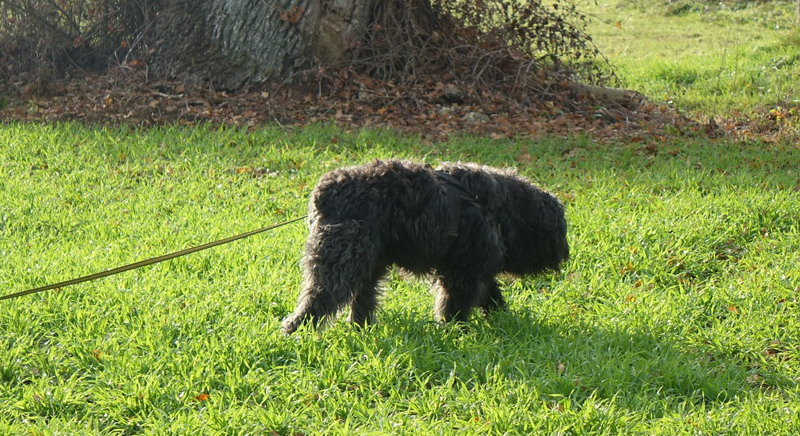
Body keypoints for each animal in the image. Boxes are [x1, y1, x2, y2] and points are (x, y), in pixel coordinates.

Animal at [281, 160, 569, 334]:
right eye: (560, 232)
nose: (565, 255)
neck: (500, 208)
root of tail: (325, 191)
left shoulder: (476, 268)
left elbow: (491, 295)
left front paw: (502, 319)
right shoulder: (461, 273)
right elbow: (455, 305)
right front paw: (454, 331)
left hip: (368, 264)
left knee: (362, 297)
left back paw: (362, 327)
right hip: (341, 261)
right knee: (320, 297)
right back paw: (296, 329)